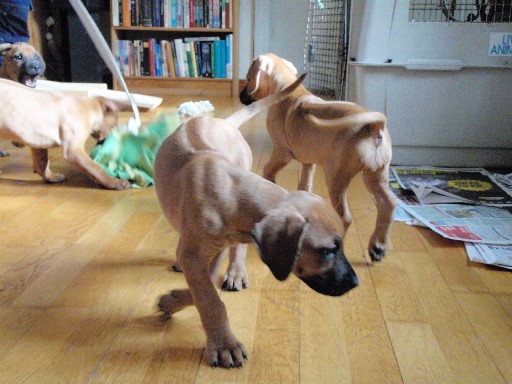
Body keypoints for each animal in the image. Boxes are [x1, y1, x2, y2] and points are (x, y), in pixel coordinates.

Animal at [0, 79, 128, 190]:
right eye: (114, 126)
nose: (104, 142)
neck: (87, 107)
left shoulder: (38, 143)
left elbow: (42, 163)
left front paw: (51, 177)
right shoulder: (73, 150)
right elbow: (95, 167)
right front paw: (114, 182)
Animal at [154, 73, 358, 368]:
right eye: (328, 250)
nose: (355, 283)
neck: (235, 193)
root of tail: (224, 122)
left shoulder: (212, 250)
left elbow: (207, 286)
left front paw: (175, 300)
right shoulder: (196, 253)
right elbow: (208, 297)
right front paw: (224, 343)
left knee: (235, 251)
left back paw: (236, 272)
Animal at [238, 52, 398, 260]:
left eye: (248, 78)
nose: (240, 97)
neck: (290, 90)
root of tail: (374, 125)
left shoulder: (281, 152)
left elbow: (269, 170)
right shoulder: (309, 161)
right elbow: (305, 184)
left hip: (336, 177)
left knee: (345, 218)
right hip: (376, 174)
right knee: (388, 204)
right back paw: (378, 246)